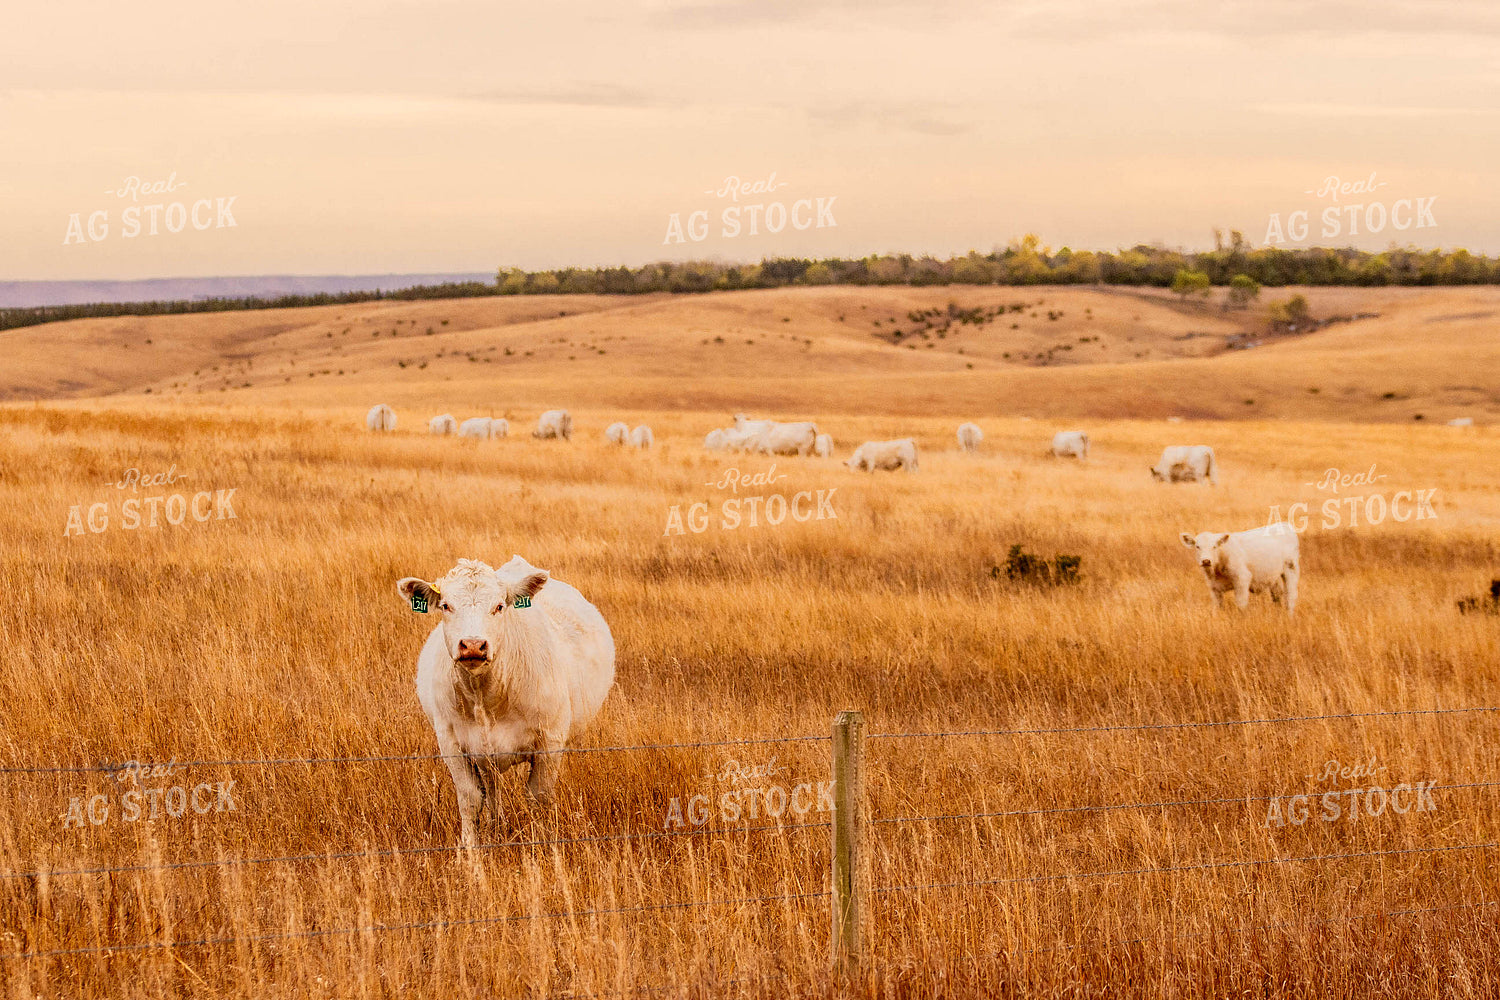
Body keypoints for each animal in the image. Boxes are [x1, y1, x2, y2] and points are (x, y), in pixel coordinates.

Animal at [397, 556, 616, 845]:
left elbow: (538, 796)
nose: (473, 645)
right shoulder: (451, 743)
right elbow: (470, 798)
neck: (485, 696)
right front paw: (470, 849)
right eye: (445, 605)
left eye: (499, 606)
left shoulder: (550, 741)